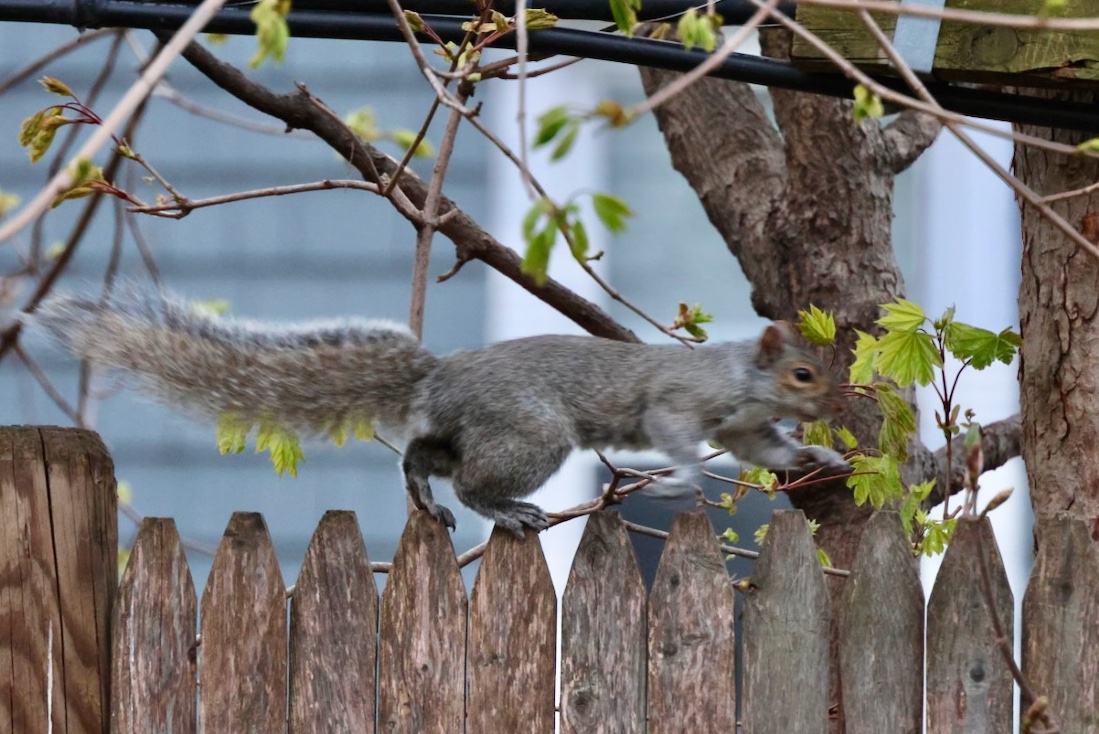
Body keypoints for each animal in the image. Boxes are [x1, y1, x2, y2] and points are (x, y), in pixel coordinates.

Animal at [26, 289, 850, 536]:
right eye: (803, 371)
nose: (835, 400)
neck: (741, 375)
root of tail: (439, 377)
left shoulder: (743, 427)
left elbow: (768, 453)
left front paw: (821, 457)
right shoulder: (681, 403)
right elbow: (674, 436)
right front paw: (680, 477)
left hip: (479, 433)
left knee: (425, 456)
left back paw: (423, 494)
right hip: (528, 434)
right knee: (472, 482)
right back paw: (506, 512)